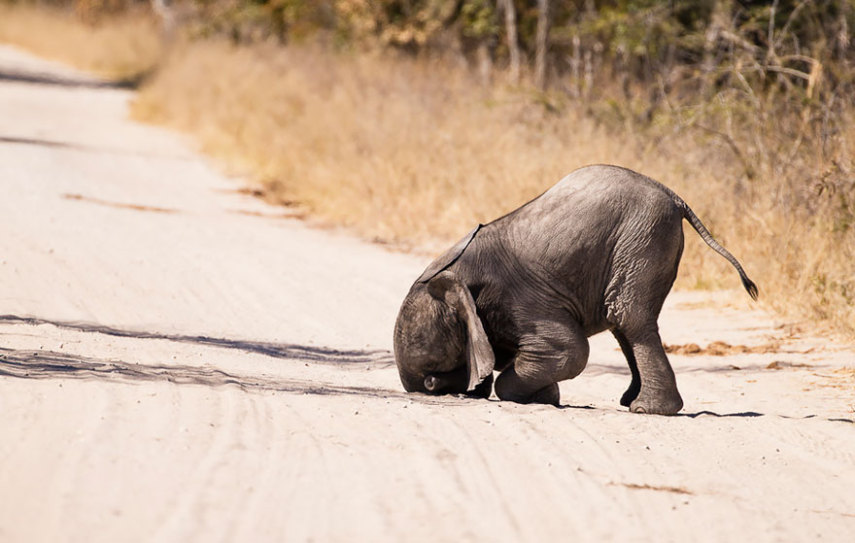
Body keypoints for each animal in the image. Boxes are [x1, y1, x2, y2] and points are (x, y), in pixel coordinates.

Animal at [392, 164, 760, 414]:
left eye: (431, 375)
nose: (433, 387)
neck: (455, 272)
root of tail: (676, 198)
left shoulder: (518, 300)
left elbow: (568, 350)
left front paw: (530, 396)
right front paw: (544, 397)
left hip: (642, 236)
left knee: (628, 316)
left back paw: (646, 409)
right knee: (623, 322)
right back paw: (631, 401)